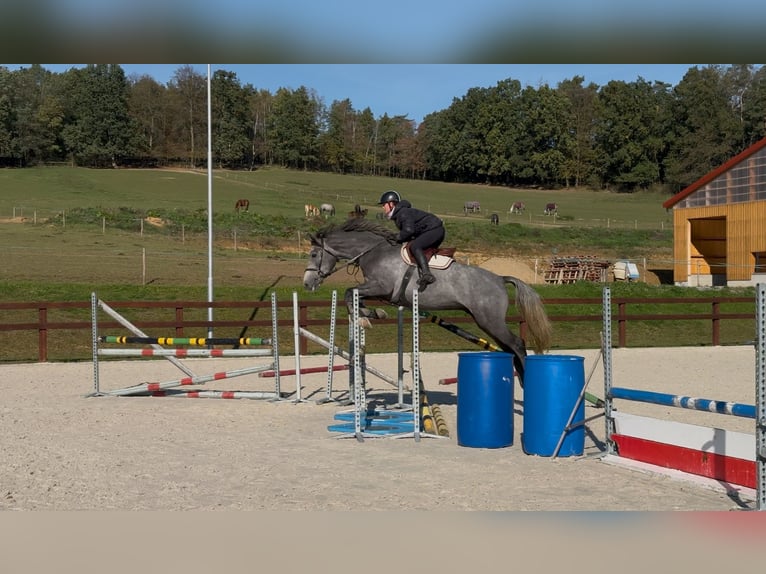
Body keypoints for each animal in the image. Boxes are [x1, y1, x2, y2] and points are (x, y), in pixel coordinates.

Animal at [302, 218, 552, 384]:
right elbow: (354, 296)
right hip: (487, 323)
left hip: (490, 321)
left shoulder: (381, 287)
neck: (372, 251)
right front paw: (371, 314)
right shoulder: (379, 291)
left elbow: (348, 292)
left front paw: (363, 319)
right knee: (509, 348)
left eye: (313, 254)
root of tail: (500, 279)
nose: (306, 284)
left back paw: (527, 380)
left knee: (517, 344)